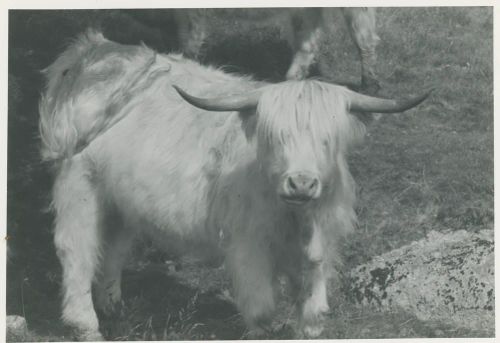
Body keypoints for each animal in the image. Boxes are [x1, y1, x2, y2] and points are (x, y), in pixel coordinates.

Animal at [39, 31, 430, 342]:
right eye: (275, 136)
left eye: (328, 138)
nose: (301, 183)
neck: (298, 218)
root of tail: (92, 49)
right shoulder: (249, 244)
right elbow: (261, 308)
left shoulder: (322, 242)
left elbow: (314, 307)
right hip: (78, 184)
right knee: (76, 249)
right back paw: (85, 324)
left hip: (119, 198)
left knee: (114, 247)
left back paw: (114, 308)